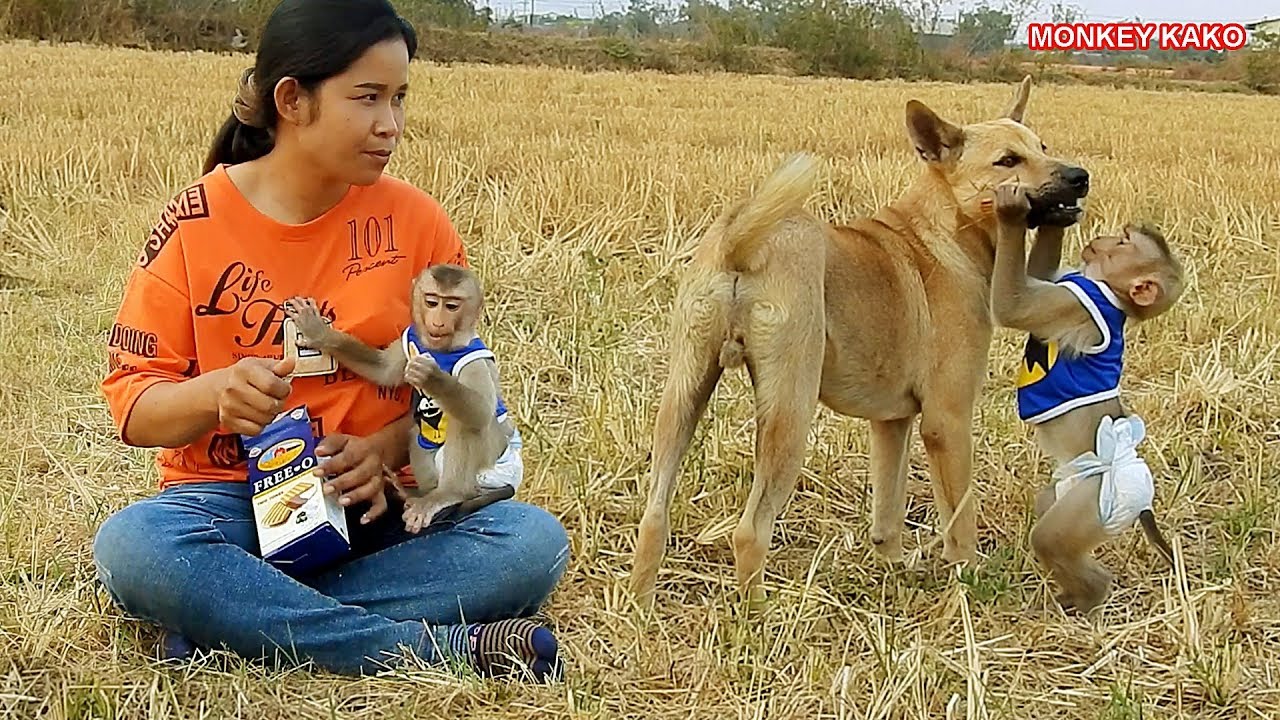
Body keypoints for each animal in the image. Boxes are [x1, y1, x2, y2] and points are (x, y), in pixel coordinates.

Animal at [282, 264, 523, 533]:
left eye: (452, 306)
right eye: (431, 301)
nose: (438, 322)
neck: (443, 349)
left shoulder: (474, 362)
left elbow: (480, 412)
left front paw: (431, 376)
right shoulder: (411, 336)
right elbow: (383, 370)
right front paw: (319, 333)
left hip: (493, 453)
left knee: (465, 424)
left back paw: (451, 493)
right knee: (417, 435)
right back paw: (415, 495)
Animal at [988, 181, 1185, 615]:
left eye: (1124, 242)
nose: (1103, 238)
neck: (1115, 298)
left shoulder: (1075, 305)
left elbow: (1015, 305)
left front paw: (1011, 213)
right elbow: (1037, 278)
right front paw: (1058, 213)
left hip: (1091, 503)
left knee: (1052, 539)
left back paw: (1090, 597)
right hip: (1069, 491)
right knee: (1049, 509)